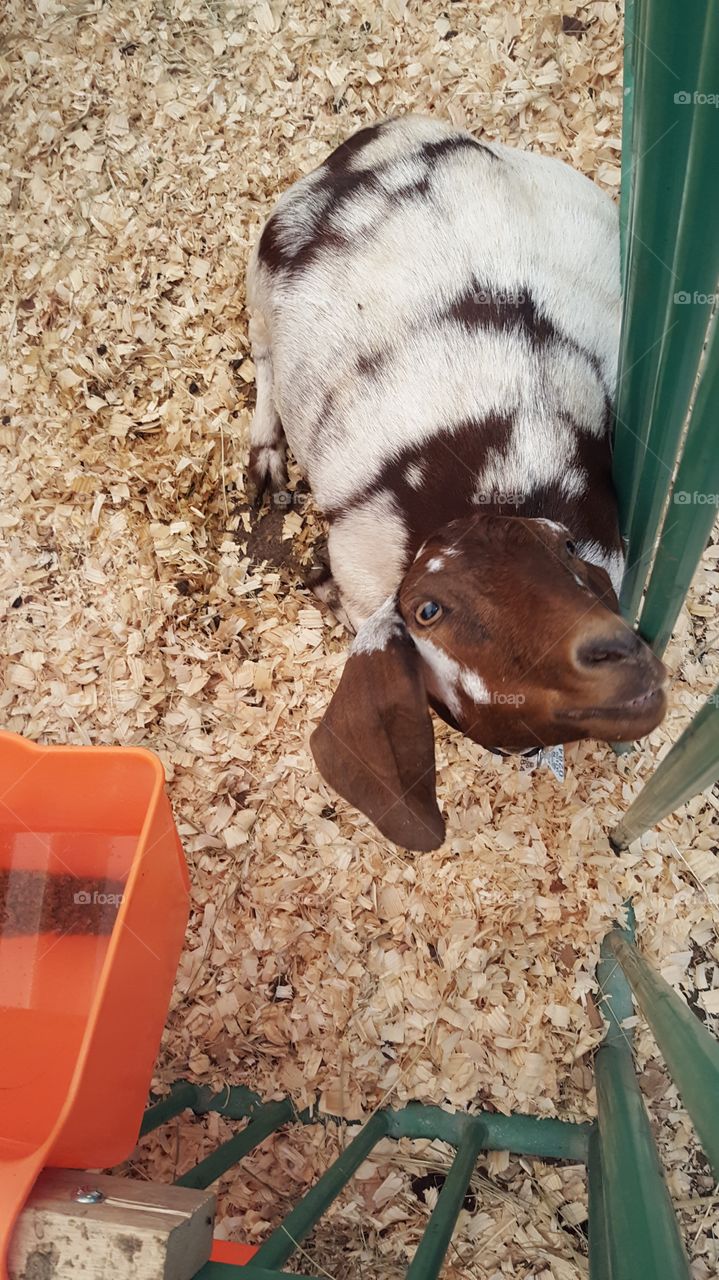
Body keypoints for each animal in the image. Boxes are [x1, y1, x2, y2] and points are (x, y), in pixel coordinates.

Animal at [246, 115, 667, 850]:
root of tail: (390, 134)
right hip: (262, 272)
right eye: (428, 611)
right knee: (261, 352)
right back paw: (265, 456)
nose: (617, 655)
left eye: (566, 550)